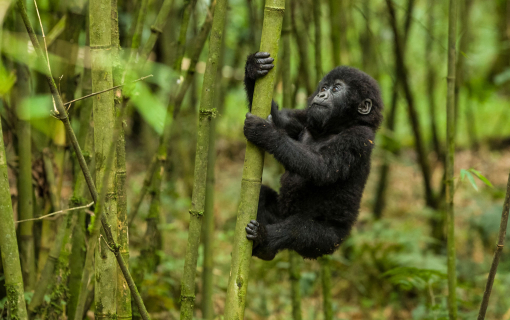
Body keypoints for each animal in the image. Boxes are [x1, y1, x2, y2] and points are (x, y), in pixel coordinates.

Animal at [243, 50, 382, 260]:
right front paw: (254, 67)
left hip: (328, 242)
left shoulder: (360, 137)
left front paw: (264, 132)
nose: (321, 94)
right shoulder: (305, 118)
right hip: (280, 213)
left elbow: (322, 168)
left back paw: (264, 238)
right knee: (262, 195)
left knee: (299, 230)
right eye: (324, 87)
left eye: (336, 89)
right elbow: (281, 120)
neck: (335, 128)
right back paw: (265, 249)